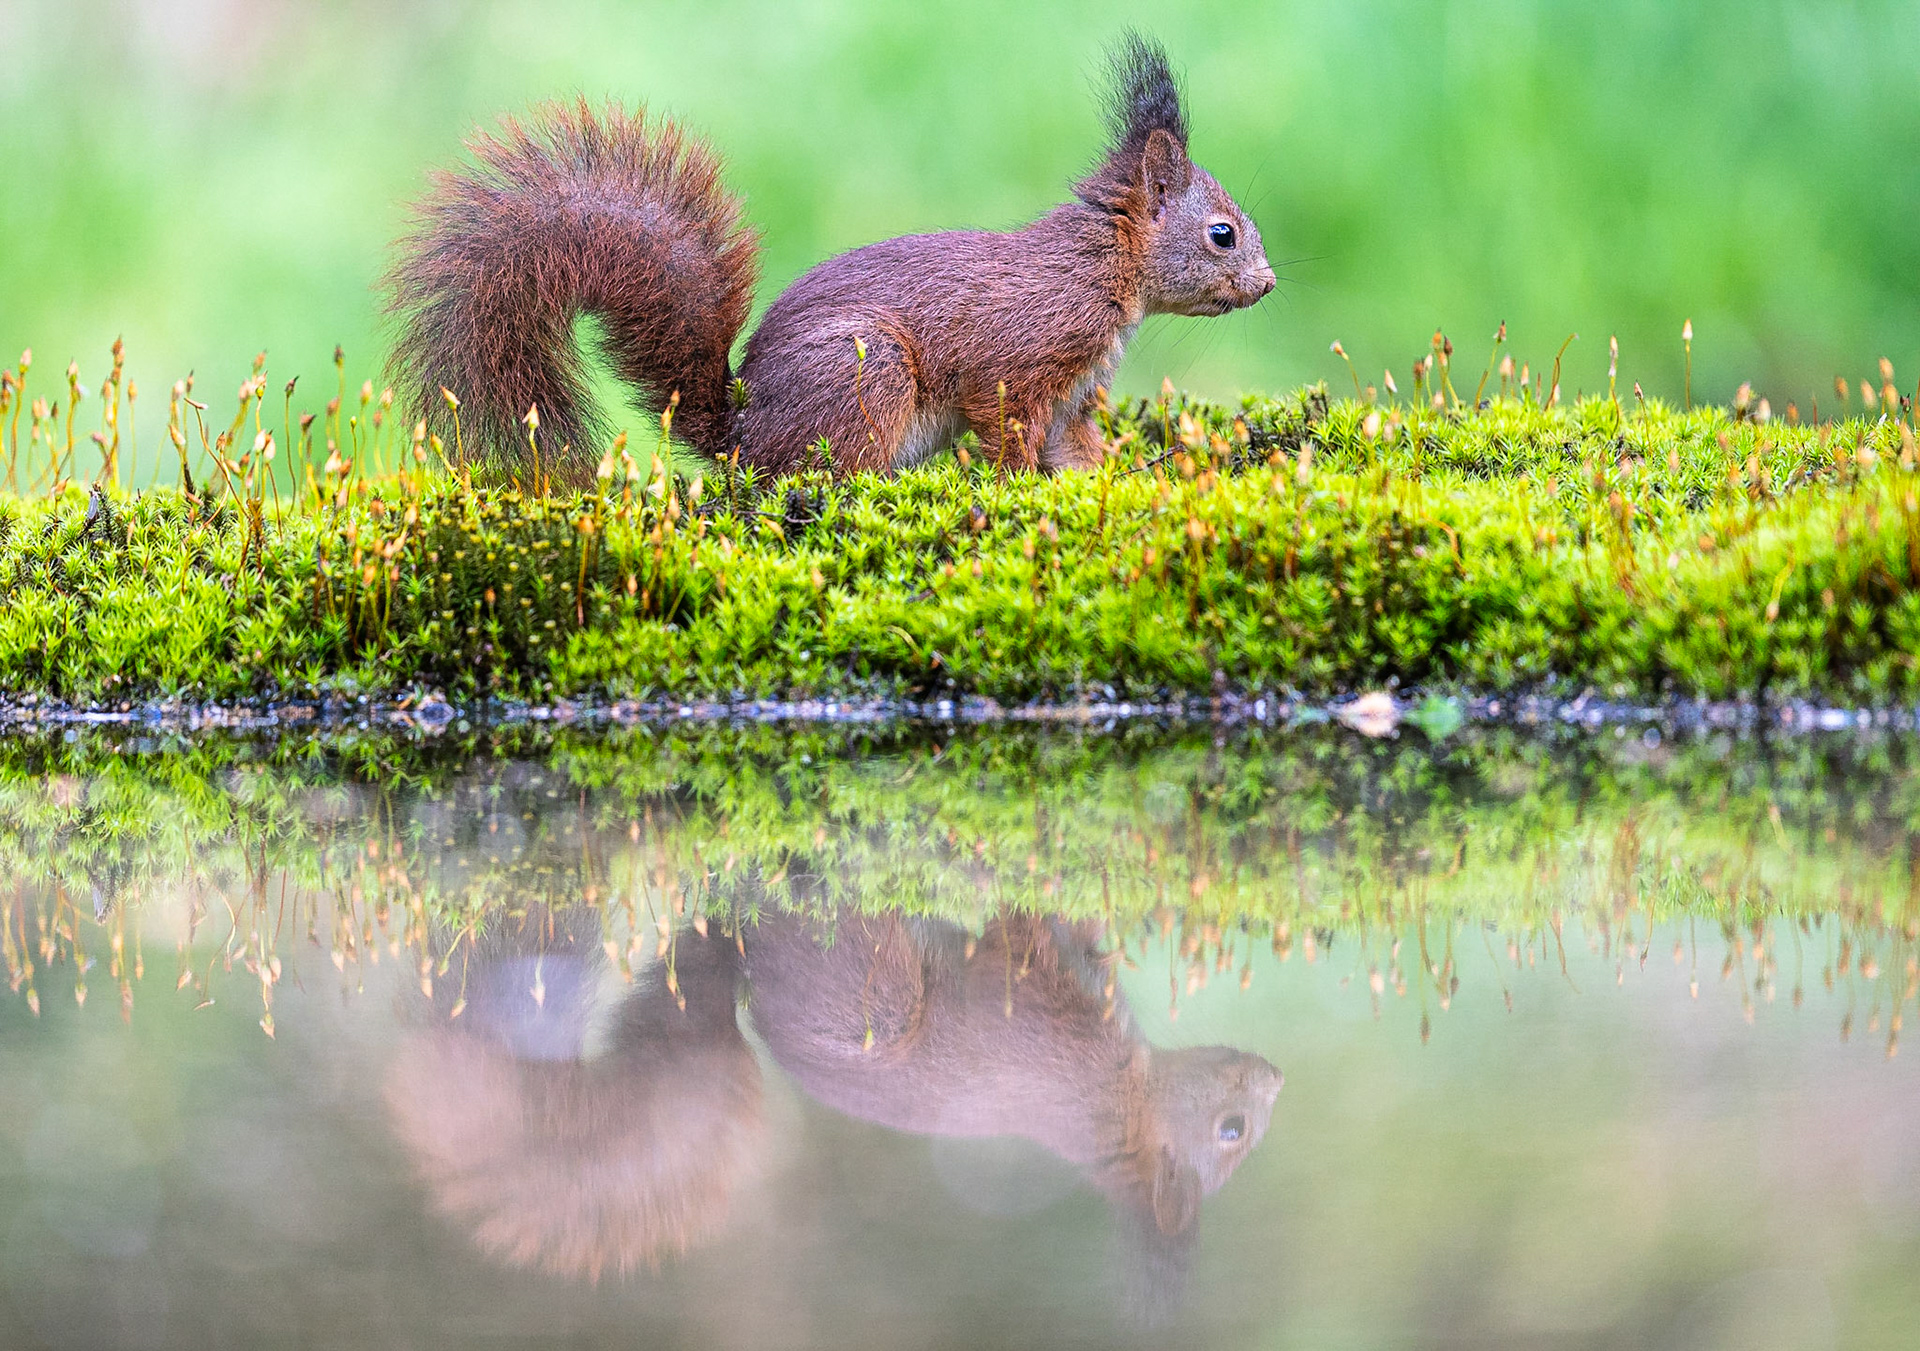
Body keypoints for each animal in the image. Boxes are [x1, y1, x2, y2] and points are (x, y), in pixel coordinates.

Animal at [385, 34, 1274, 486]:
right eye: (1221, 235)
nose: (1267, 284)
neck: (1105, 266)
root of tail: (743, 435)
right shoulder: (1020, 363)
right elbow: (1008, 436)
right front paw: (1014, 491)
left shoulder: (1072, 397)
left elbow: (1077, 451)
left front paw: (1125, 478)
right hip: (866, 376)